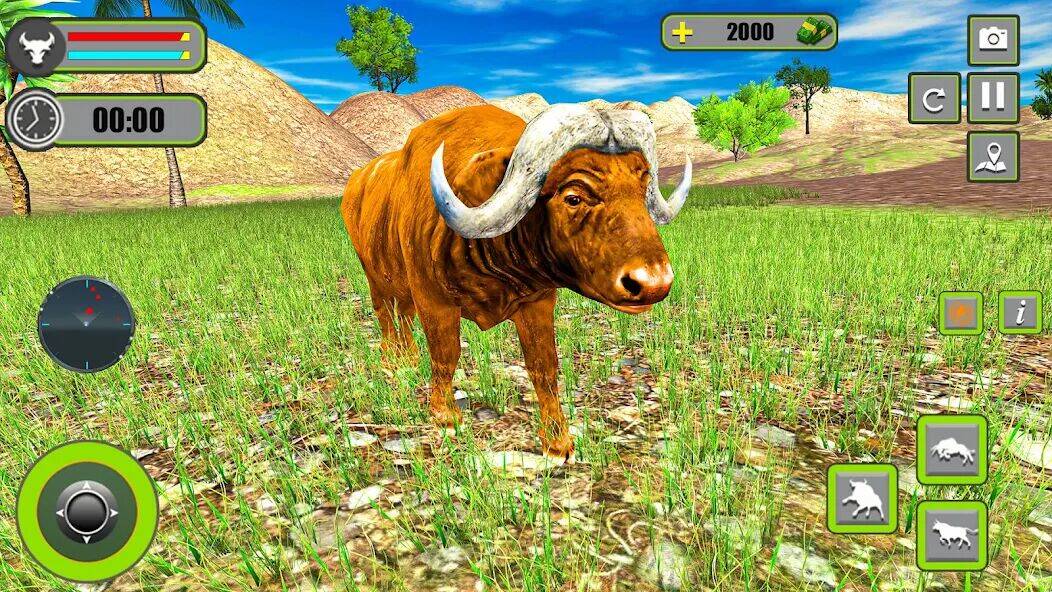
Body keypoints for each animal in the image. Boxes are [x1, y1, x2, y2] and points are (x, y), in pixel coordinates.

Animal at [340, 104, 692, 459]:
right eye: (573, 197)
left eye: (642, 189)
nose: (654, 282)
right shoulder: (433, 299)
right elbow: (445, 354)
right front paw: (445, 415)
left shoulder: (538, 301)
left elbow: (543, 366)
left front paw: (557, 441)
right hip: (375, 277)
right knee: (386, 315)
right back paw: (393, 362)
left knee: (402, 315)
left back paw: (408, 358)